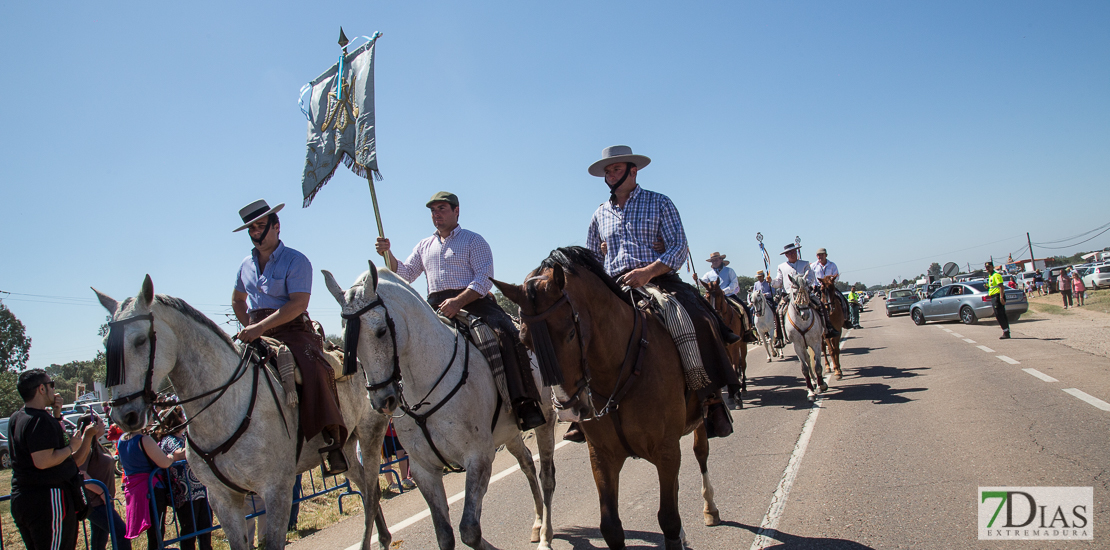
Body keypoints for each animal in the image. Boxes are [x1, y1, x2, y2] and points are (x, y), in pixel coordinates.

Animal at [93, 277, 392, 550]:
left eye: (140, 340)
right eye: (107, 342)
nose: (123, 415)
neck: (224, 409)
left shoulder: (276, 490)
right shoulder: (222, 498)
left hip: (370, 433)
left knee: (371, 489)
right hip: (345, 446)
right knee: (365, 486)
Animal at [324, 264, 559, 548]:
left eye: (381, 331)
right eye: (347, 339)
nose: (382, 401)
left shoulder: (479, 457)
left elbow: (469, 529)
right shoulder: (423, 469)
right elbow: (445, 534)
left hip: (544, 420)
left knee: (547, 476)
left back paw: (546, 534)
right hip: (509, 433)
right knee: (527, 464)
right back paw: (536, 523)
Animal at [492, 248, 719, 550]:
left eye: (570, 333)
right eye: (525, 341)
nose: (569, 411)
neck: (619, 371)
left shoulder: (667, 450)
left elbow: (669, 519)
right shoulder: (602, 456)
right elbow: (611, 527)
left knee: (701, 452)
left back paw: (710, 508)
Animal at [785, 273, 830, 402]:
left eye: (808, 291)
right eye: (795, 293)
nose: (805, 315)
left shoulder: (816, 343)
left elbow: (818, 366)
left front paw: (821, 385)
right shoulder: (797, 346)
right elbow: (804, 369)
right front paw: (810, 392)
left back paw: (818, 382)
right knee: (808, 359)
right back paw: (813, 382)